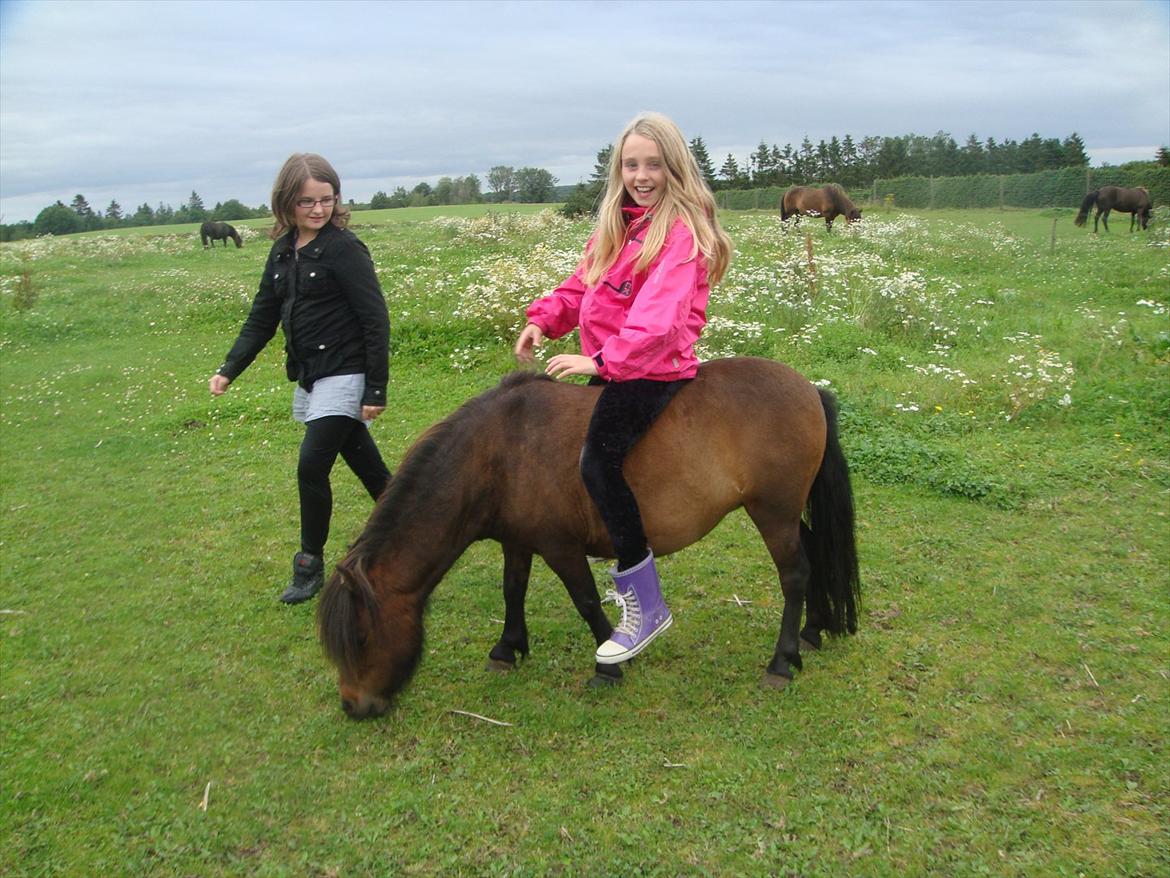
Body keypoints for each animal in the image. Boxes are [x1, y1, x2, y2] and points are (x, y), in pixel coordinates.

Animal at [317, 357, 861, 720]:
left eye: (361, 638)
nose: (353, 705)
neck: (498, 452)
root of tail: (809, 389)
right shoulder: (519, 540)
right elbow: (512, 589)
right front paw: (507, 649)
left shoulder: (560, 546)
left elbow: (583, 601)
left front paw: (611, 662)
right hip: (785, 513)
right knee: (814, 557)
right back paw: (813, 631)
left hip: (773, 513)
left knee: (794, 575)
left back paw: (782, 661)